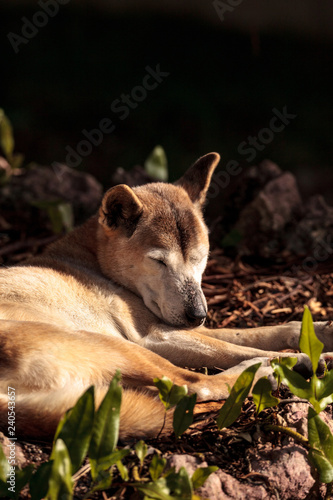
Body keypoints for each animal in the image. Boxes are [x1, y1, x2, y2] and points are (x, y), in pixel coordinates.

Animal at [0, 150, 332, 440]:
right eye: (159, 261)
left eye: (200, 257)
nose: (198, 315)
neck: (94, 260)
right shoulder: (155, 335)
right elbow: (245, 348)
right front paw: (303, 357)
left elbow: (260, 333)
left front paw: (320, 332)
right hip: (111, 344)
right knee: (196, 383)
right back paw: (264, 372)